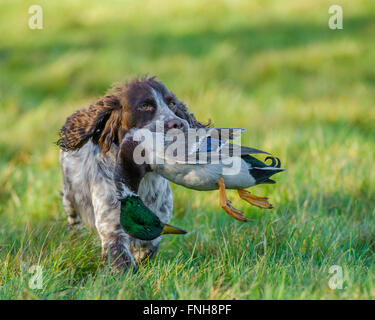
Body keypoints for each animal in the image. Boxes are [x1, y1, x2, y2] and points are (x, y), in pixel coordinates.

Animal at [57, 76, 207, 272]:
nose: (179, 123)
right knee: (73, 220)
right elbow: (122, 261)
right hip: (69, 198)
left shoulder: (158, 225)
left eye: (172, 103)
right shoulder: (112, 228)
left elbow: (146, 250)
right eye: (144, 106)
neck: (142, 180)